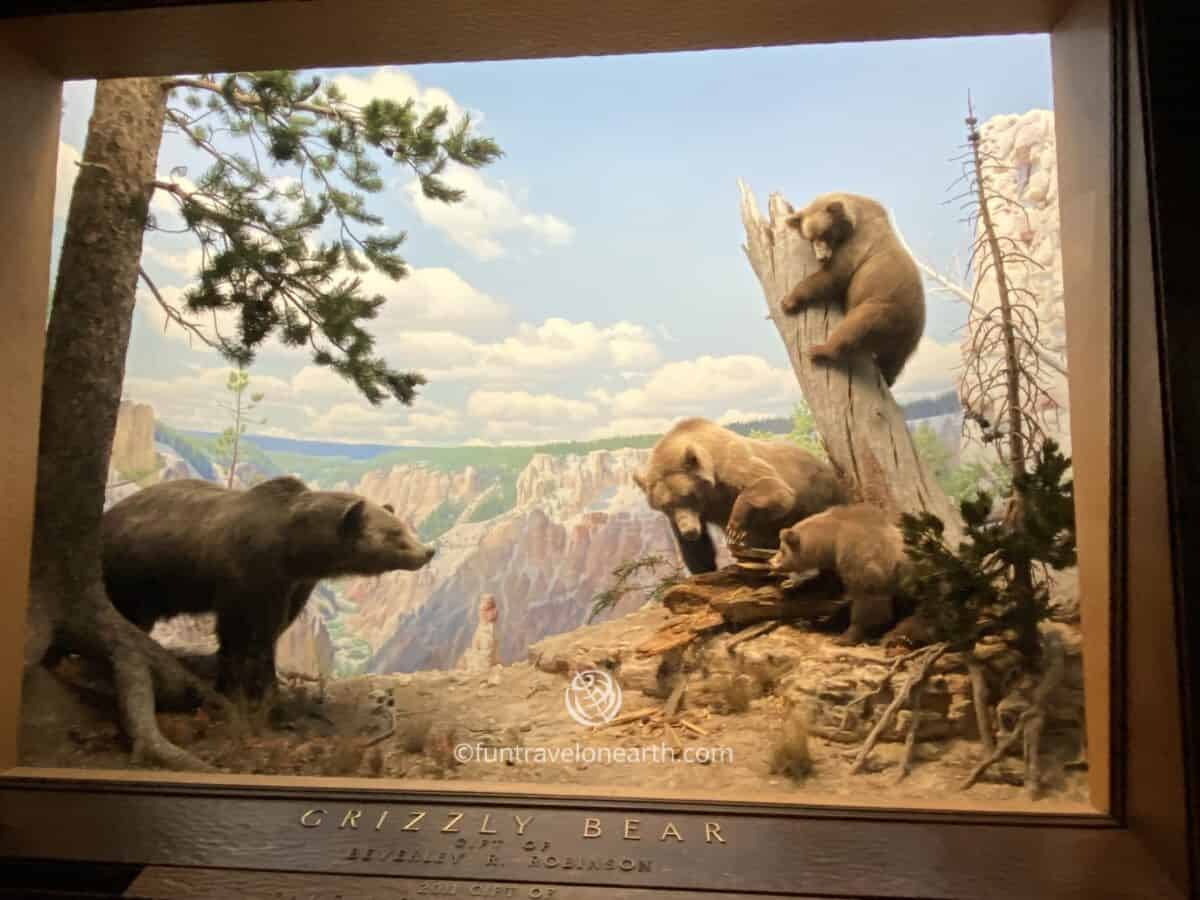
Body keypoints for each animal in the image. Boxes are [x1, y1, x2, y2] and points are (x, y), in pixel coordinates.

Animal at [100, 475, 434, 700]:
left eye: (404, 526)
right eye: (394, 533)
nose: (428, 551)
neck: (294, 550)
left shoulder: (292, 585)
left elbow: (272, 630)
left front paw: (267, 680)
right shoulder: (244, 576)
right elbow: (238, 631)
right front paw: (239, 684)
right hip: (134, 575)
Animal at [633, 417, 849, 573]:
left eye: (687, 495)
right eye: (666, 506)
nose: (689, 531)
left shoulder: (731, 465)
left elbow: (774, 489)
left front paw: (735, 528)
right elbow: (696, 549)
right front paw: (703, 569)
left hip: (819, 493)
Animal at [777, 190, 926, 388]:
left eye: (825, 234)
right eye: (811, 237)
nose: (822, 257)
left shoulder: (858, 243)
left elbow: (834, 276)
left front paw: (788, 301)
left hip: (884, 308)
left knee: (857, 325)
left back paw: (819, 350)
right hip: (902, 342)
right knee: (893, 362)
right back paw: (888, 377)